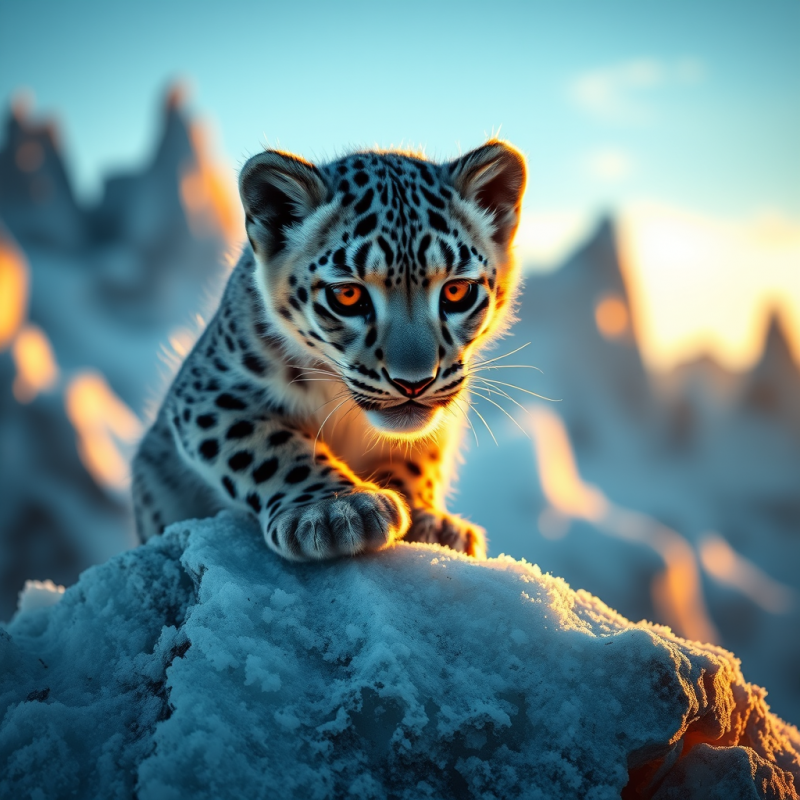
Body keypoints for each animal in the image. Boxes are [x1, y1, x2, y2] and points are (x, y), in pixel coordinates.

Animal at [132, 139, 526, 561]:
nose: (414, 383)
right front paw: (337, 510)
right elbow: (267, 446)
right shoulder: (211, 391)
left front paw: (431, 523)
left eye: (456, 291)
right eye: (347, 295)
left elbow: (419, 457)